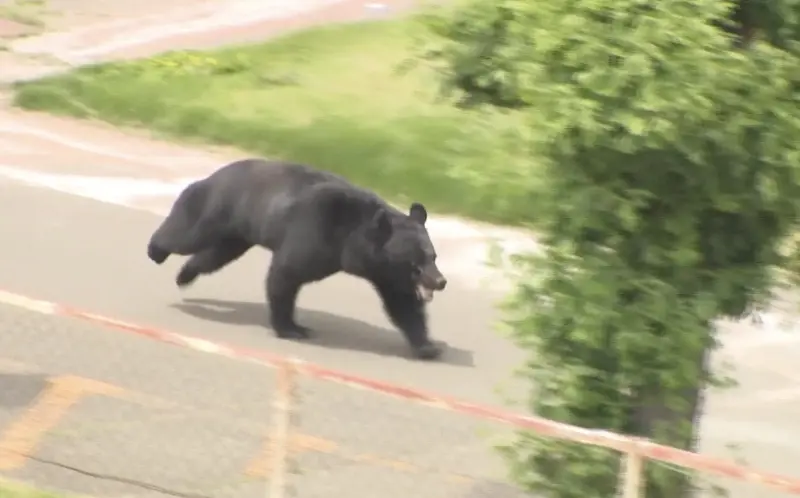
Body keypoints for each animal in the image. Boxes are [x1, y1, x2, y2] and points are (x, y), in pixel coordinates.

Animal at [146, 158, 448, 360]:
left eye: (433, 256)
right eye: (416, 264)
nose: (441, 281)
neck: (352, 238)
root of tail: (216, 173)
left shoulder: (384, 272)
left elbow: (403, 304)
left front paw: (427, 346)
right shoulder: (316, 230)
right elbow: (286, 273)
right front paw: (291, 328)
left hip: (237, 234)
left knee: (214, 256)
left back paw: (184, 275)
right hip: (218, 207)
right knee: (187, 232)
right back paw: (155, 250)